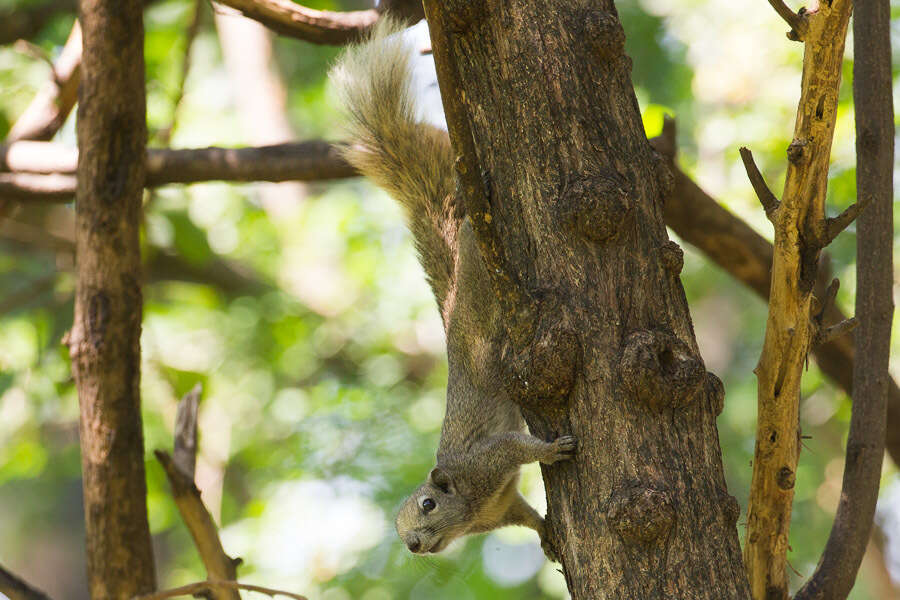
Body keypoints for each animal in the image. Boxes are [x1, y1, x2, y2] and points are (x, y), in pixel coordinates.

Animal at [330, 18, 576, 564]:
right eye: (400, 531)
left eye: (427, 504)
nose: (415, 545)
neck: (470, 510)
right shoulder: (502, 506)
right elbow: (525, 515)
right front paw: (546, 534)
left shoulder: (484, 462)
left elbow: (517, 446)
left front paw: (552, 449)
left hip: (481, 281)